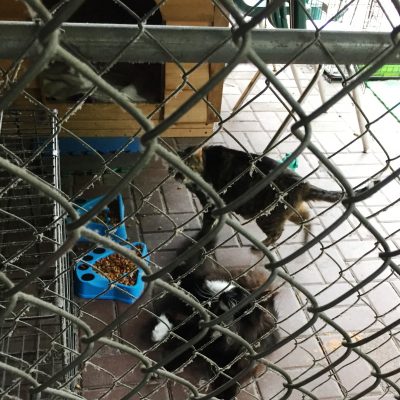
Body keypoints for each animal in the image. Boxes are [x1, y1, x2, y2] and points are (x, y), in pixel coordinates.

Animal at [149, 251, 279, 399]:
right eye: (232, 292)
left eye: (235, 297)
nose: (223, 293)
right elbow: (183, 351)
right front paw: (160, 370)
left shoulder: (243, 366)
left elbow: (231, 384)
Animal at [173, 145, 373, 247]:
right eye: (174, 167)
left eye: (187, 166)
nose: (177, 176)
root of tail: (302, 184)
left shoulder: (211, 204)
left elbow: (206, 225)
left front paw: (201, 237)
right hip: (289, 212)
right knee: (306, 218)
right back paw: (305, 237)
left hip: (267, 217)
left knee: (278, 232)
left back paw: (261, 246)